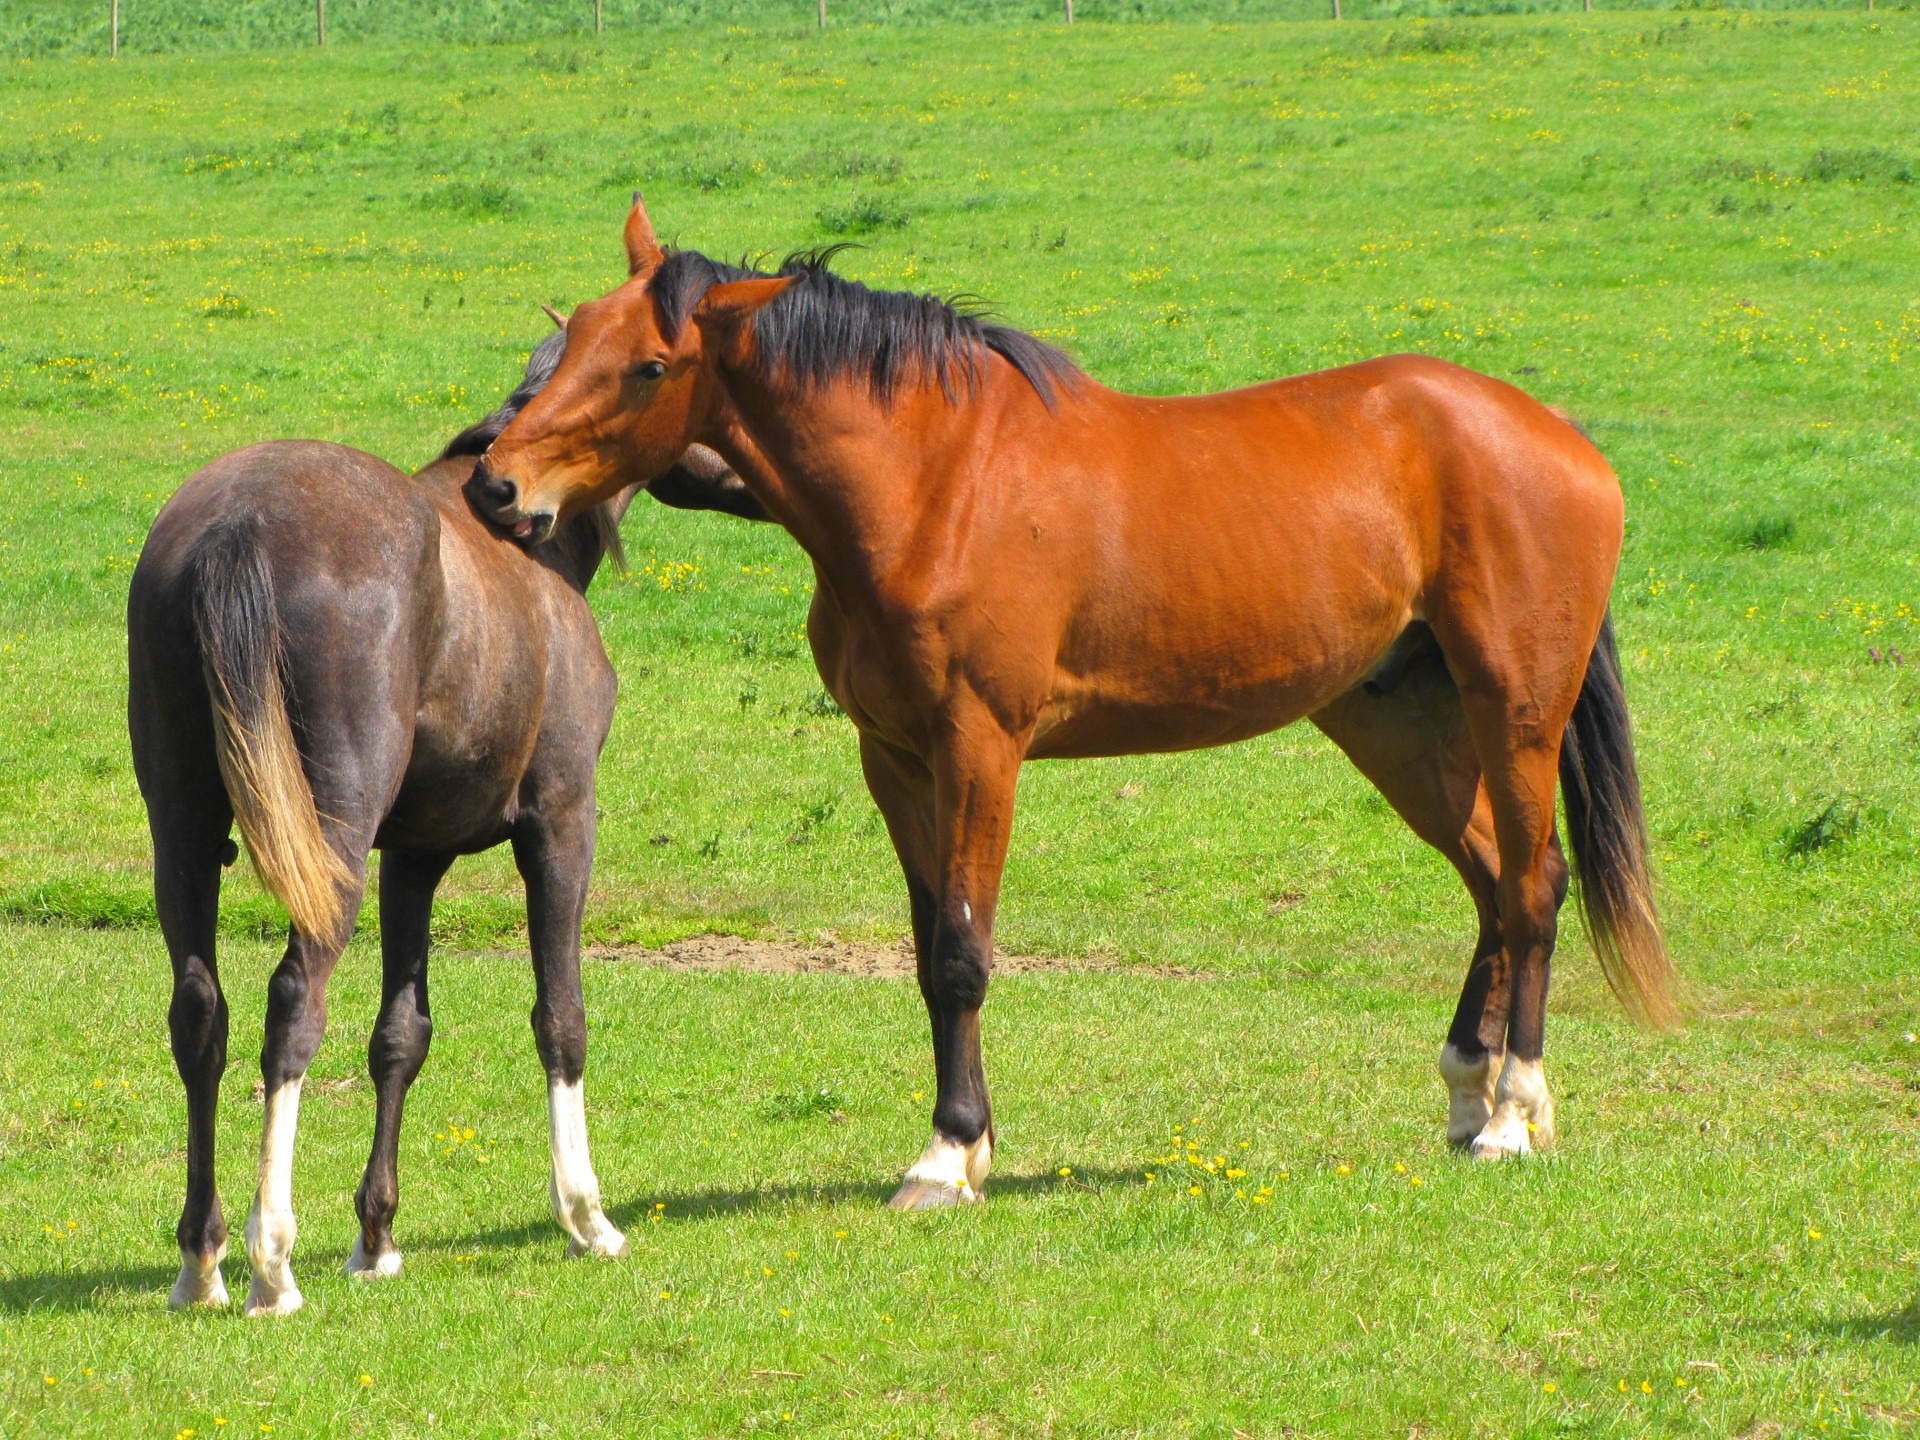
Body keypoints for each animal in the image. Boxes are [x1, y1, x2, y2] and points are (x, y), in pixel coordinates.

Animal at [128, 322, 763, 1313]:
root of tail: (240, 524)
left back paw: (203, 1260)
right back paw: (272, 1258)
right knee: (292, 1005)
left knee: (201, 1016)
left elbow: (400, 1036)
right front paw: (586, 1216)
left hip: (187, 834)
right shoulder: (561, 825)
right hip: (332, 843)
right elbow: (561, 1016)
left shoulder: (413, 858)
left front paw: (377, 1237)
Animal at [469, 198, 1675, 1209]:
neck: (938, 482)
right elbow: (928, 953)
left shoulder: (981, 747)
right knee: (1491, 883)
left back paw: (1514, 1112)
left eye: (649, 365)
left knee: (1533, 887)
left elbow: (964, 953)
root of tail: (1561, 439)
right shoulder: (894, 758)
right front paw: (972, 1141)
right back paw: (1470, 1096)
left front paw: (948, 1155)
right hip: (1396, 721)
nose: (494, 484)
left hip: (1514, 707)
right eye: (571, 333)